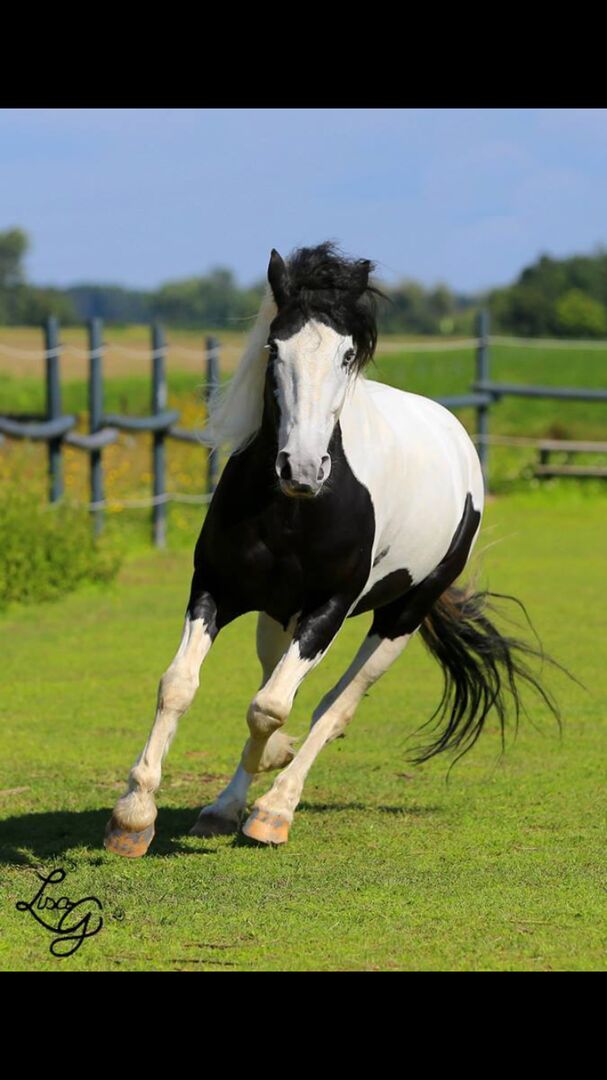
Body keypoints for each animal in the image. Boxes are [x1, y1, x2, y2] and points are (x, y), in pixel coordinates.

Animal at [103, 241, 559, 855]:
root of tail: (456, 434)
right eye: (275, 346)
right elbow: (181, 686)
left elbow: (271, 706)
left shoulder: (329, 609)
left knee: (333, 706)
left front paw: (262, 803)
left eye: (347, 356)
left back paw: (273, 809)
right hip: (277, 615)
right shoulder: (216, 589)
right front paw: (134, 815)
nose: (300, 468)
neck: (295, 511)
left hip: (399, 618)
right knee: (275, 683)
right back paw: (229, 804)